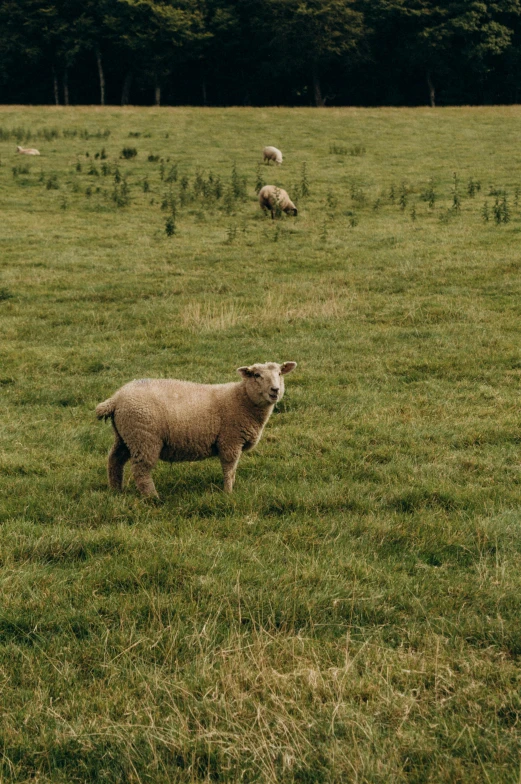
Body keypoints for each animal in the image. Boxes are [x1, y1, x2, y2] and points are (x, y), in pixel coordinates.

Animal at [95, 360, 294, 496]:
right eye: (257, 375)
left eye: (280, 373)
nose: (275, 390)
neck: (242, 399)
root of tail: (116, 398)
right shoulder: (230, 441)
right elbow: (229, 469)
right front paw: (228, 492)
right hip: (144, 437)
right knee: (141, 471)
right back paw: (153, 498)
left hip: (125, 435)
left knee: (114, 460)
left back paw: (116, 491)